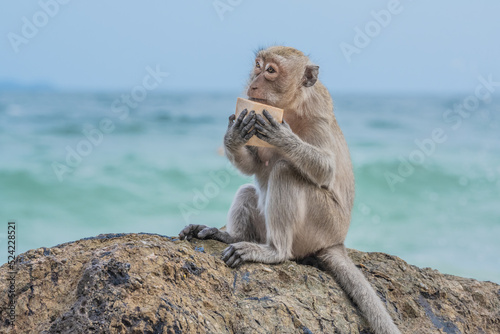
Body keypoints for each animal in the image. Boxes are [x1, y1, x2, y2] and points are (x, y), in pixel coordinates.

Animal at [178, 46, 400, 334]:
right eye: (257, 65)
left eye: (271, 71)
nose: (253, 83)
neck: (291, 106)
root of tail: (336, 241)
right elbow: (254, 165)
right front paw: (234, 135)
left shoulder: (318, 114)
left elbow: (325, 169)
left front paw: (282, 137)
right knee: (248, 190)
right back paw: (231, 236)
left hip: (321, 225)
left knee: (286, 172)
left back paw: (274, 252)